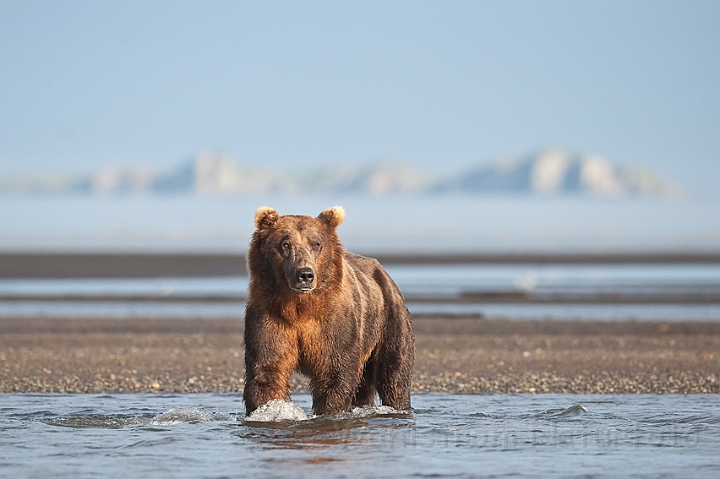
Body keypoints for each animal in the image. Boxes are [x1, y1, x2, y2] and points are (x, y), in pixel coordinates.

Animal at [242, 206, 414, 416]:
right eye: (285, 244)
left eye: (316, 244)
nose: (305, 275)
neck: (300, 307)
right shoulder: (270, 316)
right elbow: (267, 368)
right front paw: (270, 409)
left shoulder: (334, 322)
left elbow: (335, 371)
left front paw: (329, 411)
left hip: (389, 319)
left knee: (394, 375)